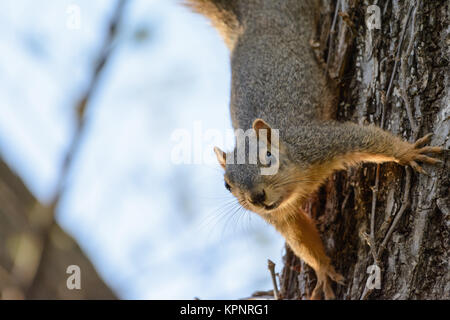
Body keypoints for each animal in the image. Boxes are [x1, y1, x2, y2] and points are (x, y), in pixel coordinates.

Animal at [185, 0, 442, 300]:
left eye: (268, 157)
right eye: (227, 185)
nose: (257, 198)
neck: (298, 181)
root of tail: (247, 16)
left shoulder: (320, 142)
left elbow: (368, 138)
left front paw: (408, 152)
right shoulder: (281, 215)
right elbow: (300, 237)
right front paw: (323, 271)